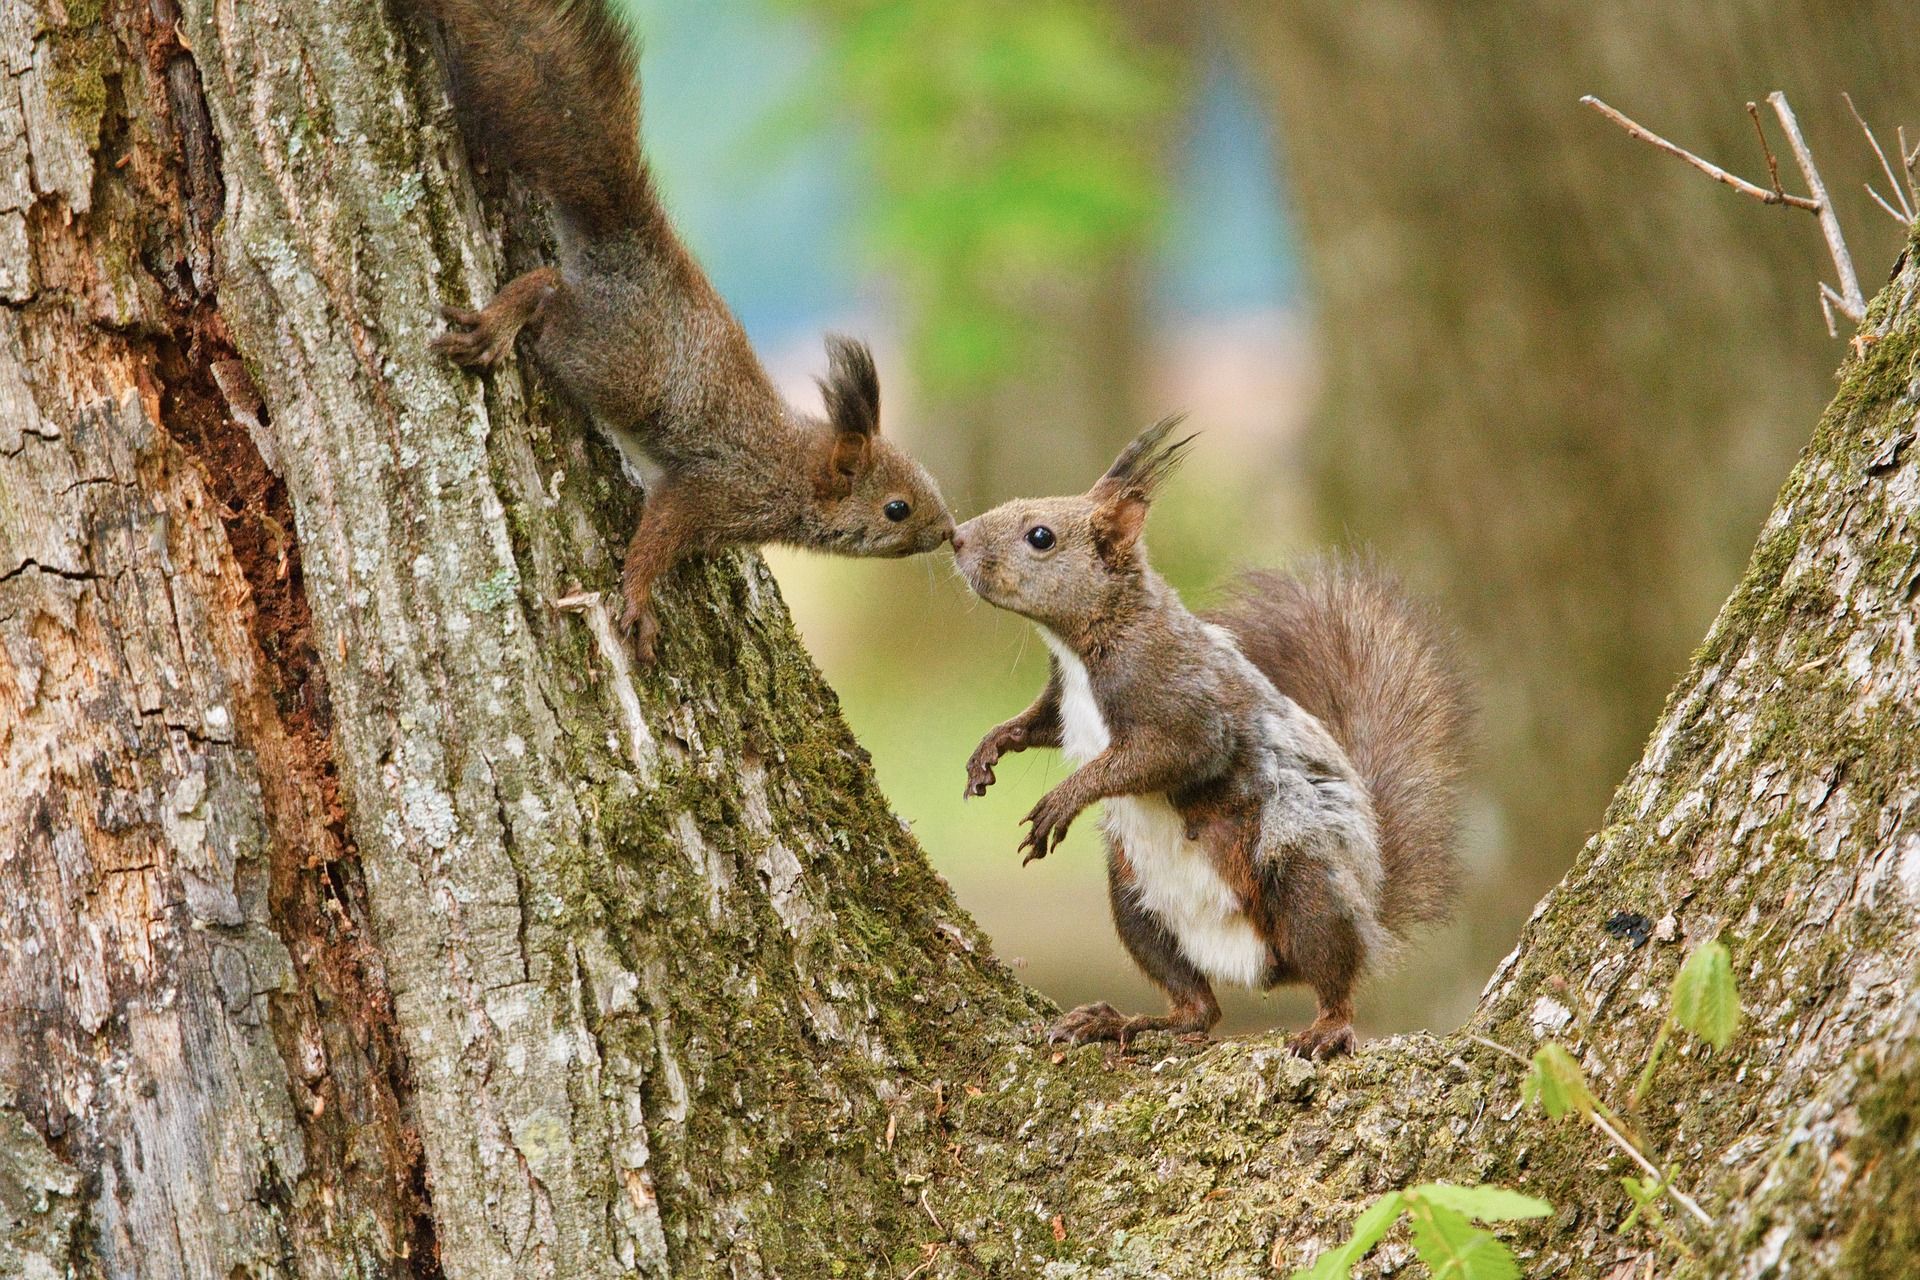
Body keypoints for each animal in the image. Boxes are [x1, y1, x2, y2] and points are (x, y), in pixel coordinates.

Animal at [422, 0, 960, 660]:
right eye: (896, 509)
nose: (950, 532)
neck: (796, 469)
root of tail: (627, 240)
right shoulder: (720, 490)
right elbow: (660, 531)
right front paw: (638, 599)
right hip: (613, 356)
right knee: (548, 290)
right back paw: (499, 321)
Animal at [956, 420, 1466, 1059]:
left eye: (1041, 537)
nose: (955, 539)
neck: (1086, 643)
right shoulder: (1063, 701)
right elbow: (1037, 723)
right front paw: (991, 748)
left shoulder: (1184, 705)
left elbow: (1164, 755)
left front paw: (1063, 800)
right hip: (1136, 905)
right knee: (1199, 1009)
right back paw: (1123, 1021)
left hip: (1302, 883)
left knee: (1334, 972)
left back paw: (1328, 1027)